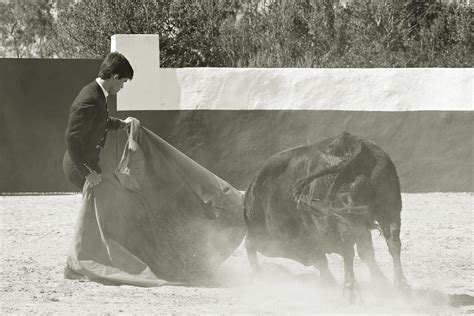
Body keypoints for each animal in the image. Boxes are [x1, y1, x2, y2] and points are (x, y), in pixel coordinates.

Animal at [244, 130, 408, 296]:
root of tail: (353, 143)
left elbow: (321, 258)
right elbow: (366, 251)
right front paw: (380, 281)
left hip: (344, 219)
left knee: (347, 249)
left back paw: (351, 288)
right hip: (389, 210)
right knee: (393, 243)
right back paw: (401, 285)